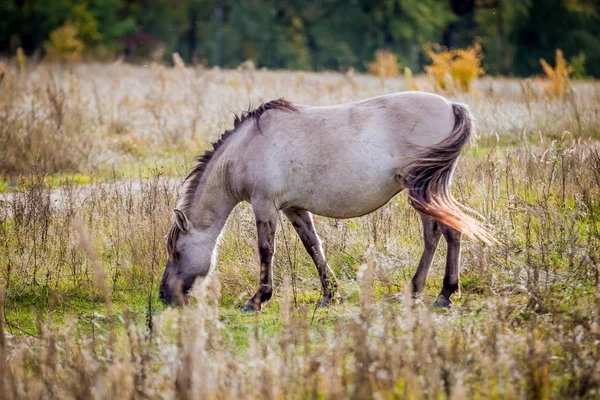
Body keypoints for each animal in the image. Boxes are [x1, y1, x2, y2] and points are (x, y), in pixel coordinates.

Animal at [158, 93, 492, 310]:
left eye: (177, 252)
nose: (165, 295)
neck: (247, 147)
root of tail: (450, 106)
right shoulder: (294, 209)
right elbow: (313, 246)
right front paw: (329, 295)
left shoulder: (264, 204)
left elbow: (266, 250)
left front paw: (257, 299)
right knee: (442, 233)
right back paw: (429, 292)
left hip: (423, 188)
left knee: (442, 233)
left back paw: (439, 294)